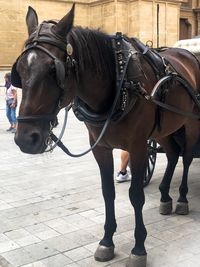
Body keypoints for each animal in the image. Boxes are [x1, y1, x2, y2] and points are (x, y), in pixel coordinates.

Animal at [11, 4, 200, 267]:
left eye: (53, 70)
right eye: (19, 70)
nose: (26, 139)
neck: (120, 81)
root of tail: (188, 55)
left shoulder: (138, 147)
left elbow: (136, 195)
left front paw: (138, 248)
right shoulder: (100, 148)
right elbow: (107, 193)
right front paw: (107, 241)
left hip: (190, 122)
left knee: (187, 157)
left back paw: (182, 198)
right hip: (164, 128)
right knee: (173, 154)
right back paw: (165, 196)